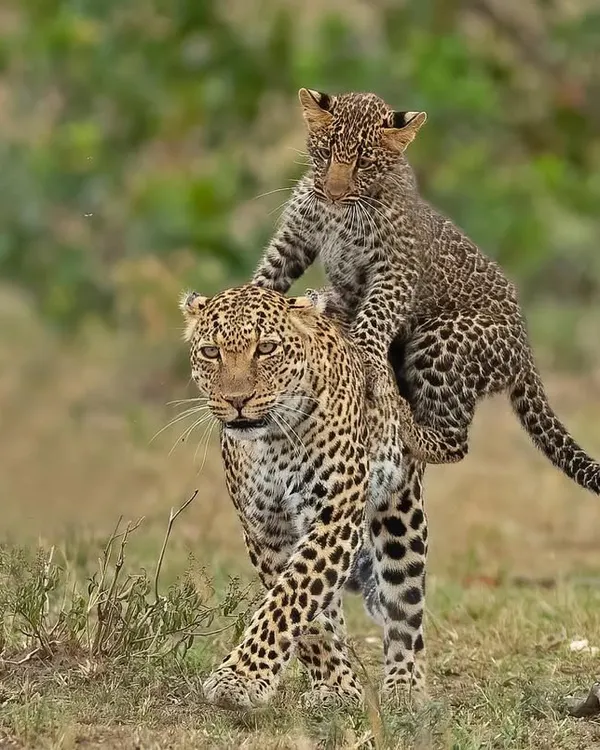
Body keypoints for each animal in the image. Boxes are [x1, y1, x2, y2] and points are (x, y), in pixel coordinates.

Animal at [180, 283, 432, 710]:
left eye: (266, 348)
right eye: (211, 352)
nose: (236, 400)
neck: (271, 442)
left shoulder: (335, 516)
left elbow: (289, 597)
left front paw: (238, 679)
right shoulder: (267, 531)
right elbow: (307, 612)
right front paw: (335, 686)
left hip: (401, 512)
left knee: (405, 605)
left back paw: (404, 686)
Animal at [251, 88, 600, 495]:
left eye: (363, 163)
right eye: (325, 152)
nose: (334, 193)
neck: (338, 213)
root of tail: (525, 353)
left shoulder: (396, 268)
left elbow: (375, 318)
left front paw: (365, 362)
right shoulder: (295, 239)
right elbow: (268, 274)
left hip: (444, 339)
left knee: (454, 442)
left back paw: (404, 419)